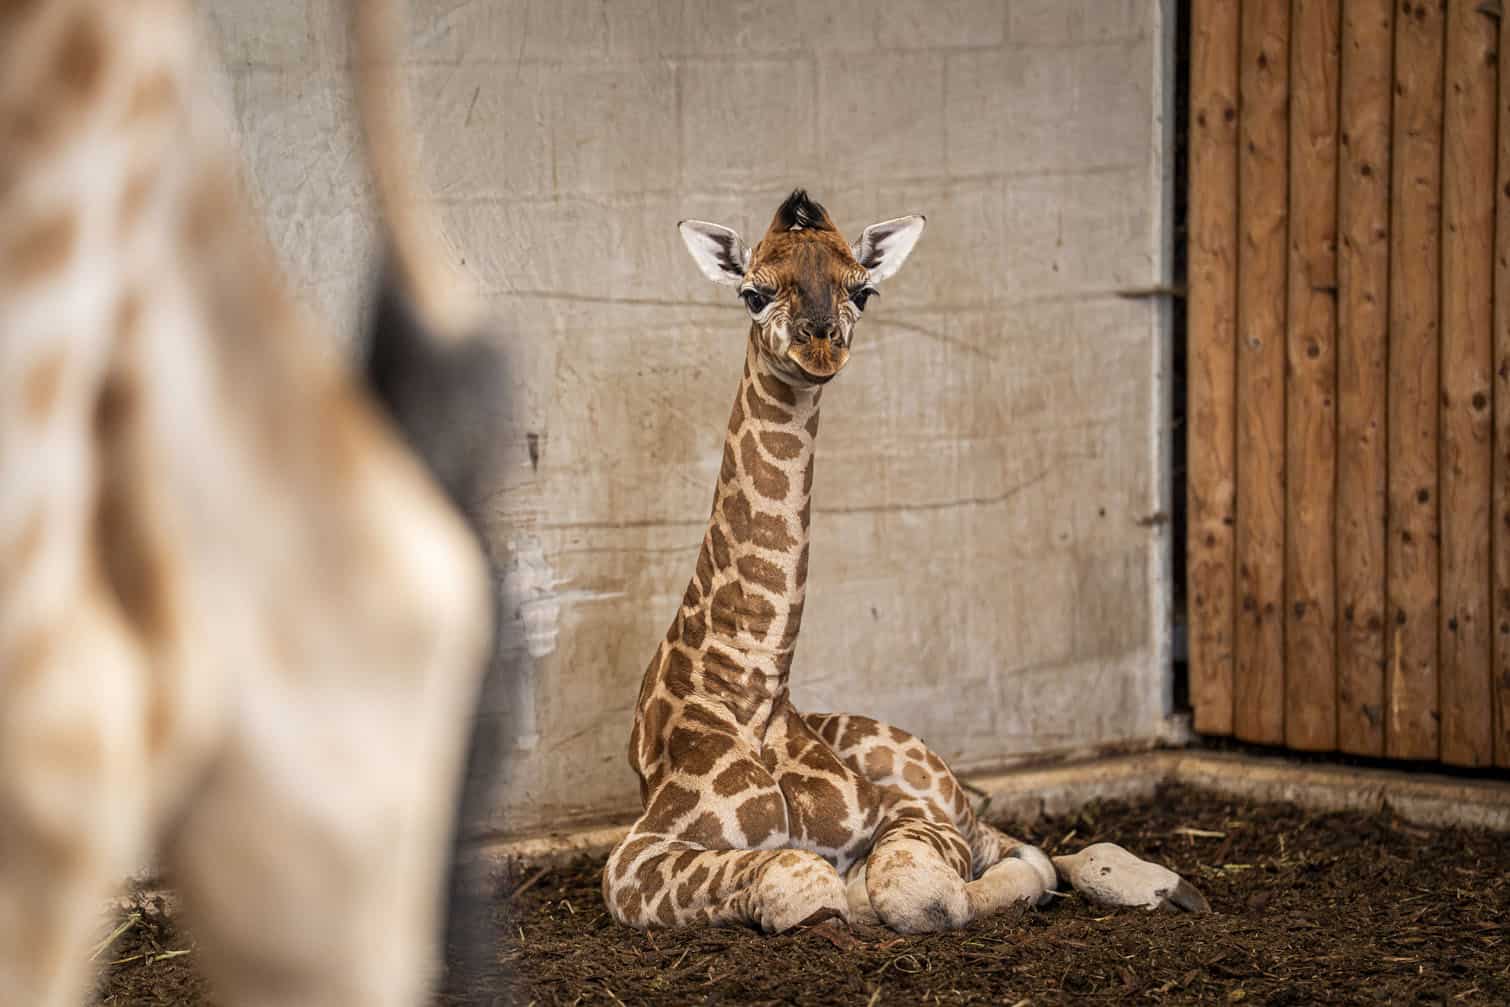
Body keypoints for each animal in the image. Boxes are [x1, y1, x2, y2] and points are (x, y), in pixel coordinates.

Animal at [601, 190, 1210, 934]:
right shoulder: (633, 856)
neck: (752, 687)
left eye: (863, 289)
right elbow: (804, 877)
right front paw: (845, 893)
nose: (820, 344)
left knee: (1023, 845)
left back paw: (1164, 885)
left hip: (931, 776)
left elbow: (919, 887)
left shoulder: (905, 813)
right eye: (752, 292)